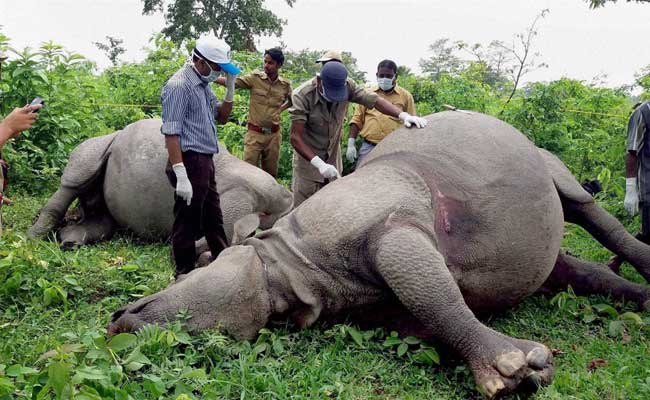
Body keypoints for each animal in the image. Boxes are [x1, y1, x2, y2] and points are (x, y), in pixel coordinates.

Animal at [109, 111, 648, 396]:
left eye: (184, 279)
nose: (118, 318)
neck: (287, 265)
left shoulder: (391, 224)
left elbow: (430, 290)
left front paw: (516, 370)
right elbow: (431, 310)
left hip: (541, 156)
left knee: (581, 205)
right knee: (560, 266)